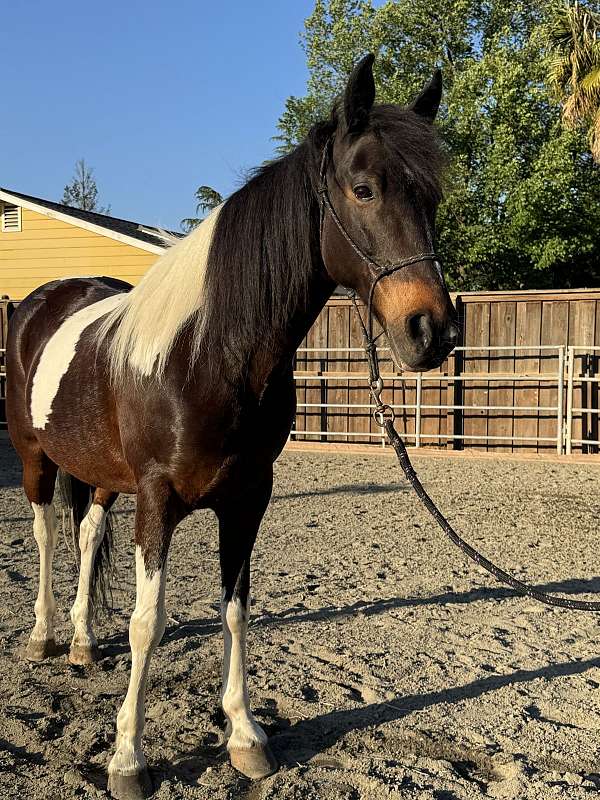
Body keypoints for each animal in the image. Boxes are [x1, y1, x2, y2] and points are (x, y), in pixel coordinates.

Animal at [6, 54, 458, 800]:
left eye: (433, 197)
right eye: (364, 189)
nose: (432, 330)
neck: (208, 353)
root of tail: (41, 300)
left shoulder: (248, 498)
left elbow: (237, 608)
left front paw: (245, 736)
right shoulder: (157, 498)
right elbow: (148, 623)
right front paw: (128, 758)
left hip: (100, 474)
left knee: (88, 531)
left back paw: (80, 642)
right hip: (33, 454)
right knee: (45, 532)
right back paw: (43, 636)